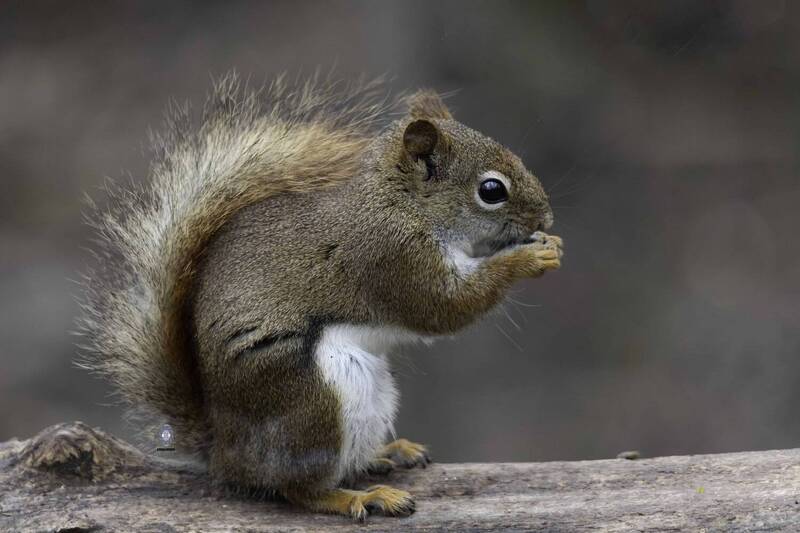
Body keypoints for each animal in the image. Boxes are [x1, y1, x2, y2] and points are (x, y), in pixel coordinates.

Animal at [78, 75, 563, 520]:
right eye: (491, 190)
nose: (547, 217)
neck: (402, 204)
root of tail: (224, 453)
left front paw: (550, 243)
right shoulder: (391, 257)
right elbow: (443, 308)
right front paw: (530, 257)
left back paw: (386, 454)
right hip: (315, 398)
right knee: (298, 489)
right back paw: (360, 497)